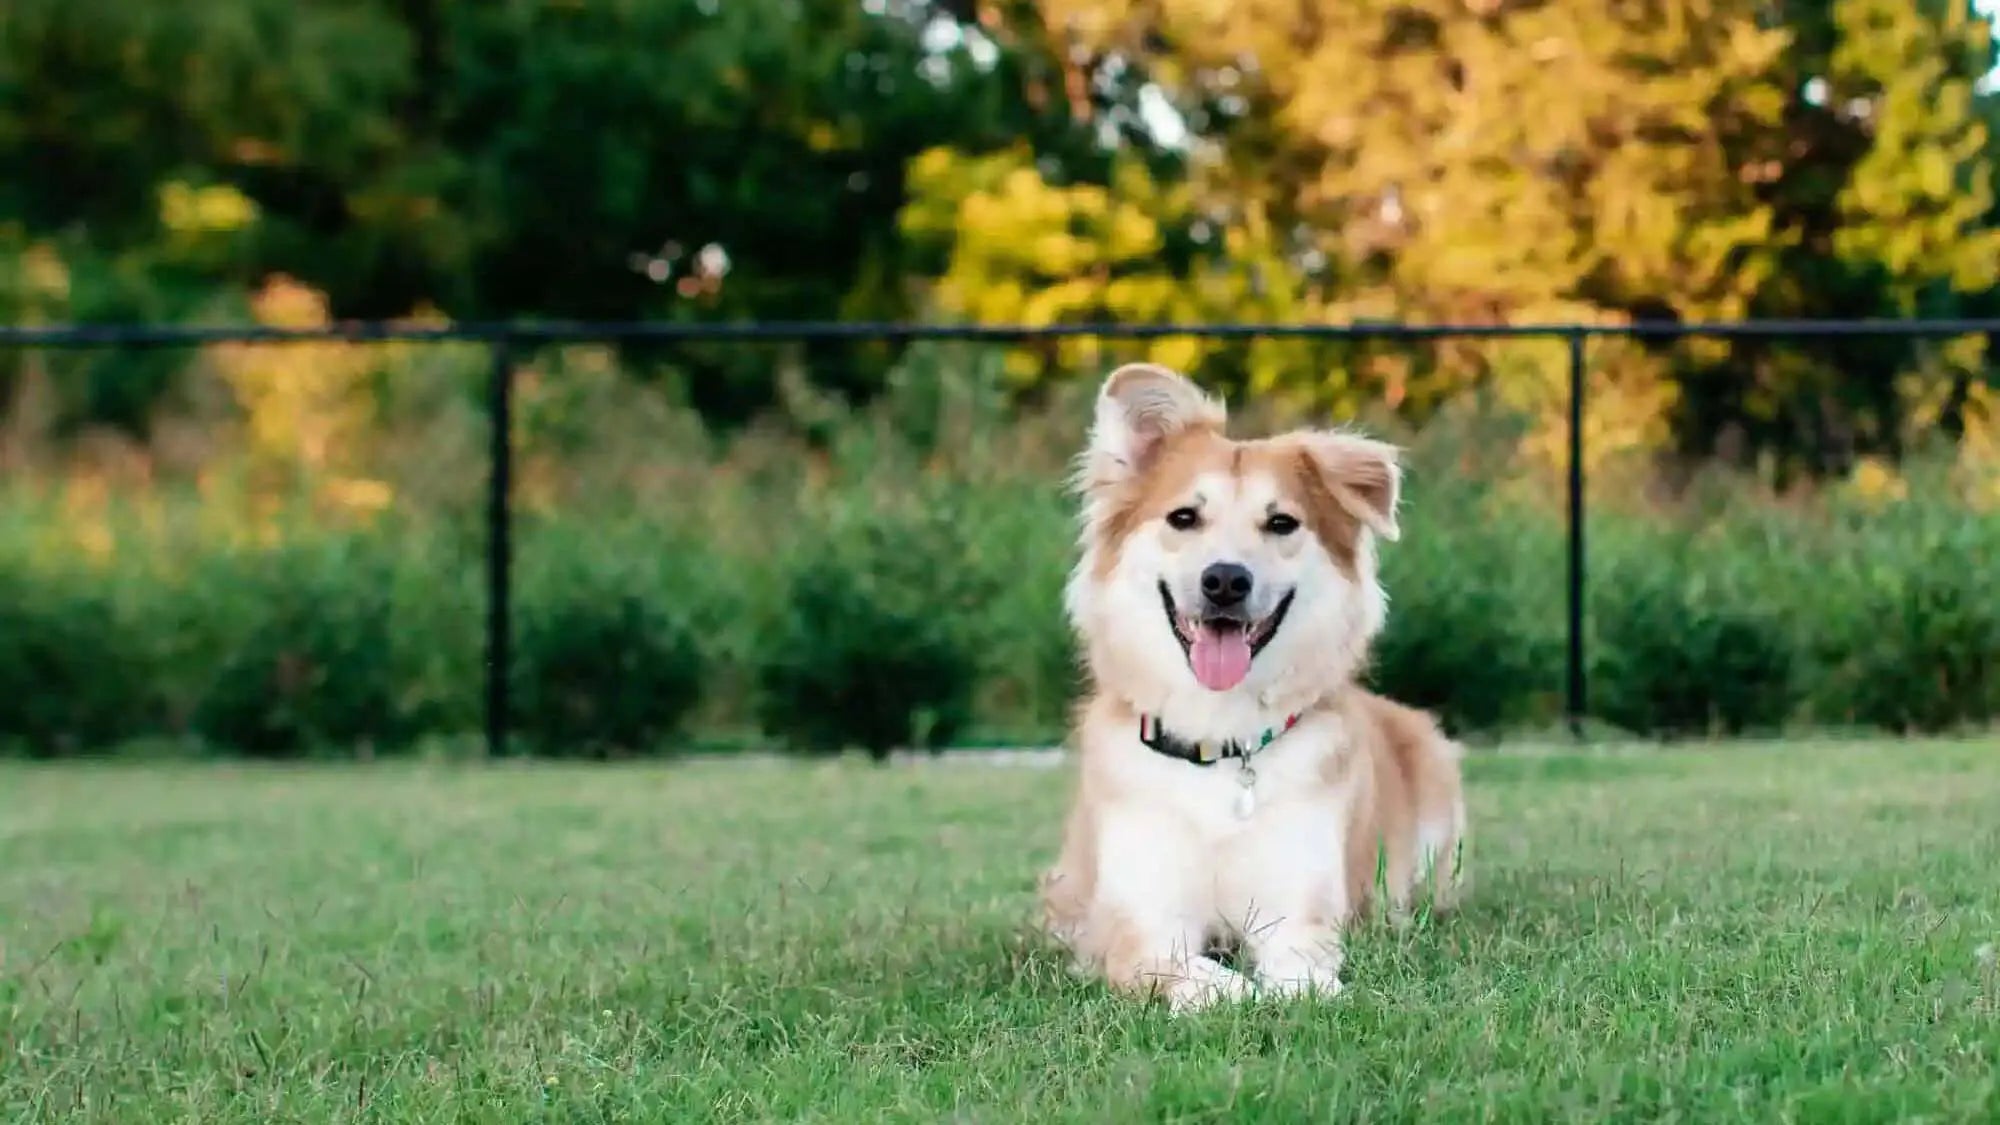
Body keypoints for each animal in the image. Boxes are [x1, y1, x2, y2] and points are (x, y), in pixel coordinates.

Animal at [1040, 364, 1464, 1012]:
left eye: (1281, 522)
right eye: (1184, 518)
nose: (1224, 581)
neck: (1218, 741)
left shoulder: (1299, 906)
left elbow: (1301, 971)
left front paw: (1295, 990)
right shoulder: (1141, 924)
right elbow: (1190, 971)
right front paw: (1228, 989)